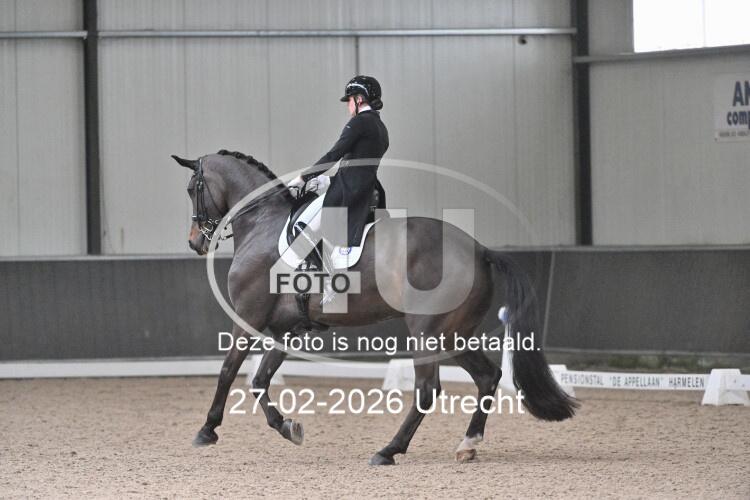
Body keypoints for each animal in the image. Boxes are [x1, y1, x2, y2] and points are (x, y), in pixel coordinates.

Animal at [171, 149, 578, 465]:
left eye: (192, 189)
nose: (195, 242)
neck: (263, 224)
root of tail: (479, 249)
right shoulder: (289, 330)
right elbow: (258, 381)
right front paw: (289, 428)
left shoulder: (248, 319)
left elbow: (228, 371)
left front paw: (207, 429)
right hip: (454, 335)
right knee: (488, 377)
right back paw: (467, 444)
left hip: (427, 333)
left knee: (428, 390)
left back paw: (389, 450)